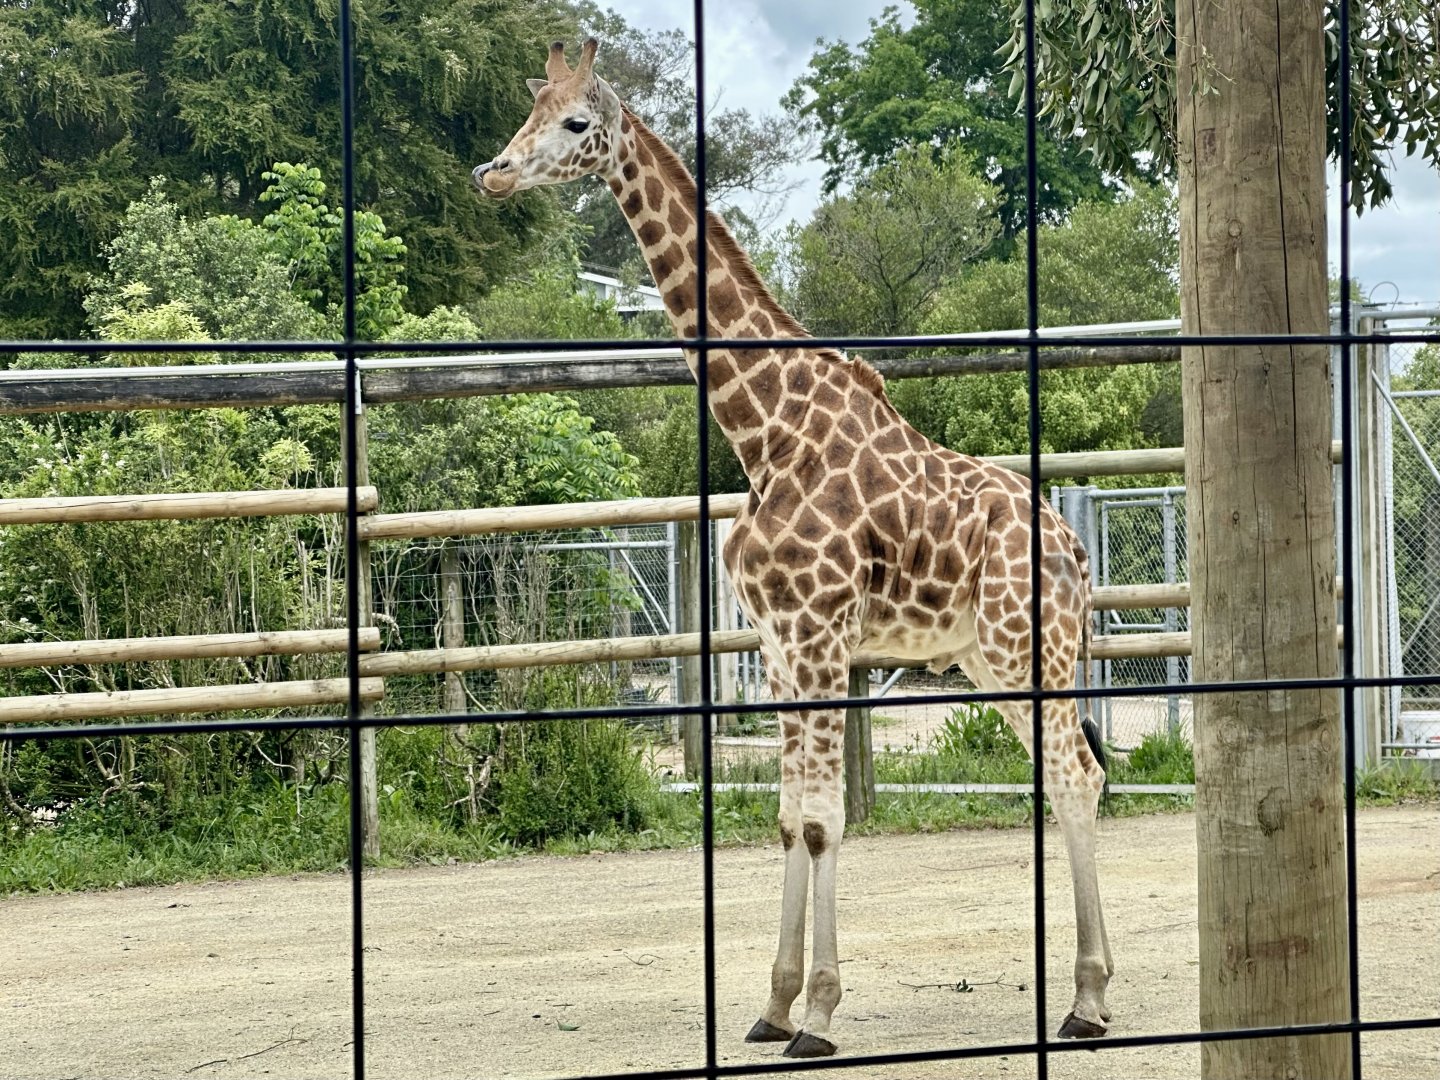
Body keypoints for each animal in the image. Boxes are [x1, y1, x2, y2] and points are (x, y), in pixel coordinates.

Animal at [473, 38, 1113, 1058]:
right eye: (528, 110)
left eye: (575, 123)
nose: (491, 173)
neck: (763, 431)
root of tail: (1076, 551)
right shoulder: (777, 648)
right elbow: (783, 821)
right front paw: (772, 1006)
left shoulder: (817, 641)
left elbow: (821, 823)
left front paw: (817, 1014)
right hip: (990, 658)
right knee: (1064, 778)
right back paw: (1088, 996)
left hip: (1028, 648)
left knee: (1079, 774)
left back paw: (1088, 1003)